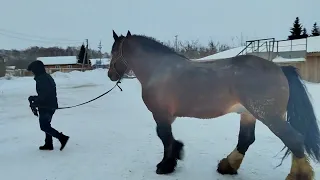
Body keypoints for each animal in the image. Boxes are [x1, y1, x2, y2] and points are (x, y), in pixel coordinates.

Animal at [107, 30, 320, 179]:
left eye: (114, 51)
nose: (110, 75)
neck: (158, 70)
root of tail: (280, 69)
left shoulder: (161, 114)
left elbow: (165, 137)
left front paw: (166, 165)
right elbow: (168, 138)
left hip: (270, 116)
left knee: (294, 139)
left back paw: (298, 176)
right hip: (249, 114)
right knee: (246, 139)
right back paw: (227, 166)